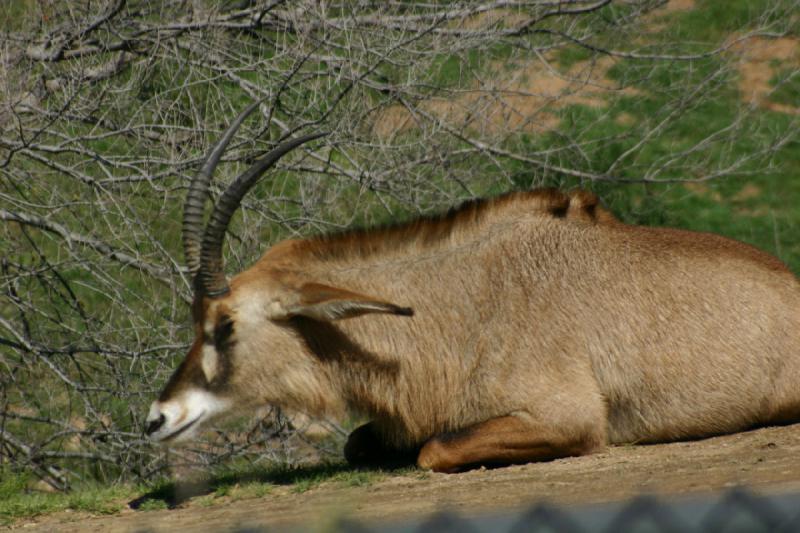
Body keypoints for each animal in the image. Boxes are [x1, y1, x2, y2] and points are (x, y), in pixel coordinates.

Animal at [147, 103, 800, 470]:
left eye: (225, 325)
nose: (157, 418)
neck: (460, 304)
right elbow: (361, 443)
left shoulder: (567, 418)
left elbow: (433, 450)